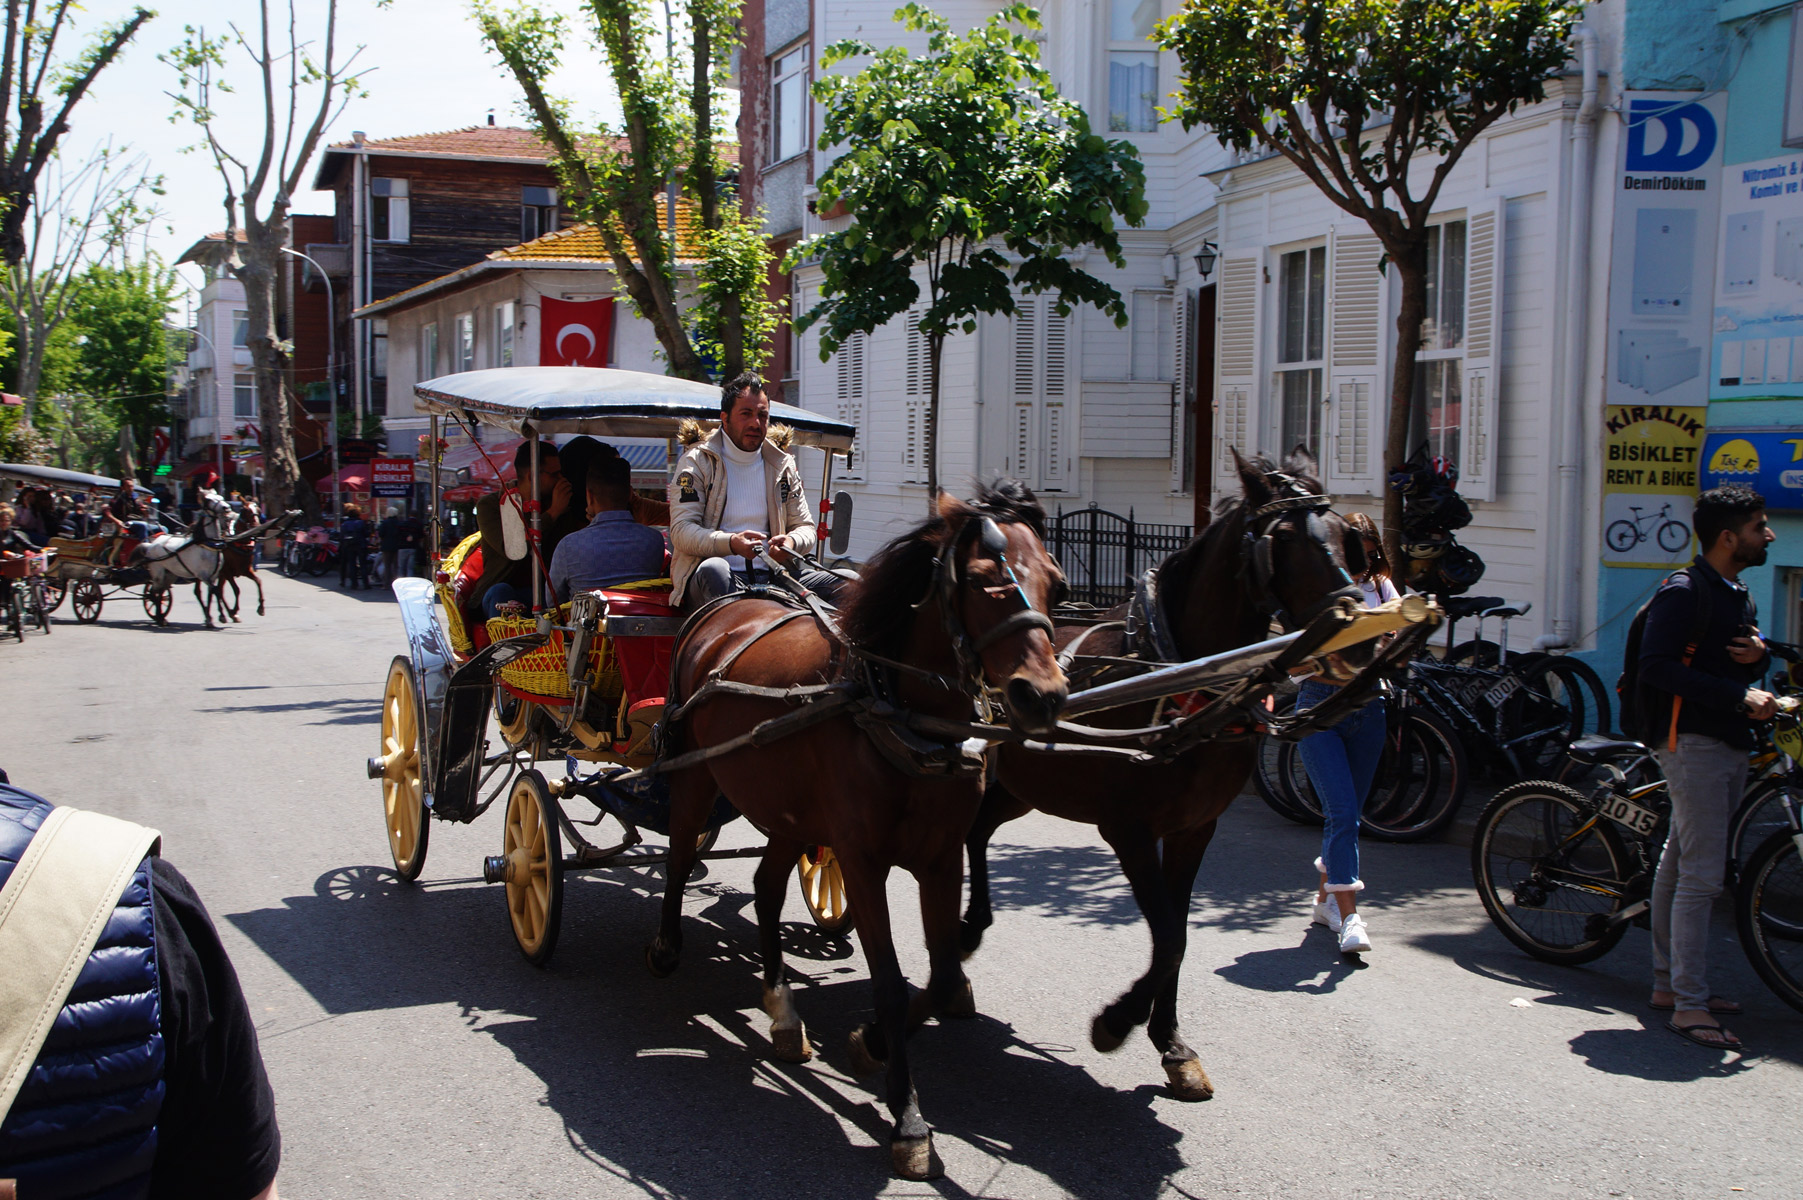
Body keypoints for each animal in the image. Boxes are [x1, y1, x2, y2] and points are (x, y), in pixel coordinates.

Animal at [649, 479, 1067, 1174]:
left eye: (1055, 583)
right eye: (985, 581)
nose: (1044, 696)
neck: (898, 709)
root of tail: (733, 602)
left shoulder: (942, 856)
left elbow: (944, 978)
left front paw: (871, 1046)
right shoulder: (863, 858)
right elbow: (892, 985)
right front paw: (909, 1119)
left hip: (786, 808)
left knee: (766, 887)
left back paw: (782, 1008)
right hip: (696, 776)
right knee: (680, 856)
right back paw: (665, 945)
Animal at [966, 446, 1370, 1095]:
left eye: (1342, 535)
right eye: (1283, 539)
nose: (1357, 638)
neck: (1181, 679)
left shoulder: (1193, 829)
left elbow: (1176, 933)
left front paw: (1171, 1044)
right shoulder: (1128, 830)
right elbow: (1169, 936)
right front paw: (1117, 1022)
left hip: (1020, 787)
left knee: (977, 833)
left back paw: (970, 927)